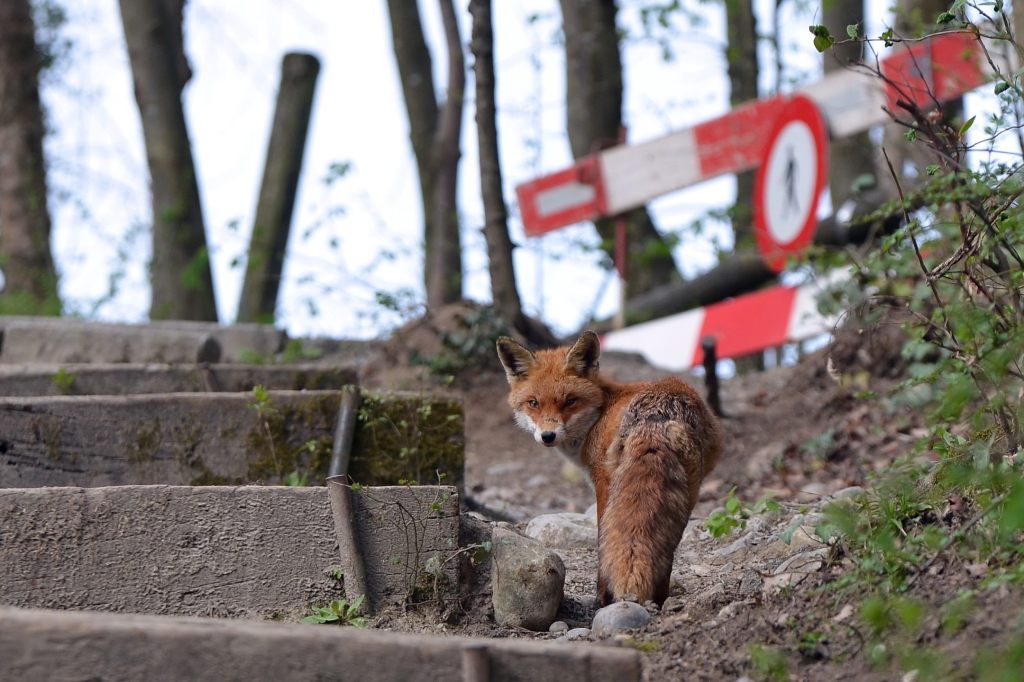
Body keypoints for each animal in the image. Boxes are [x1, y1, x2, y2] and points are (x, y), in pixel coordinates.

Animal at [493, 331, 720, 602]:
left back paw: (604, 598)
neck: (600, 414)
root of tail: (659, 413)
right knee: (667, 547)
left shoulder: (601, 481)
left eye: (570, 401)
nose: (548, 436)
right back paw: (659, 598)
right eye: (533, 403)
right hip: (688, 493)